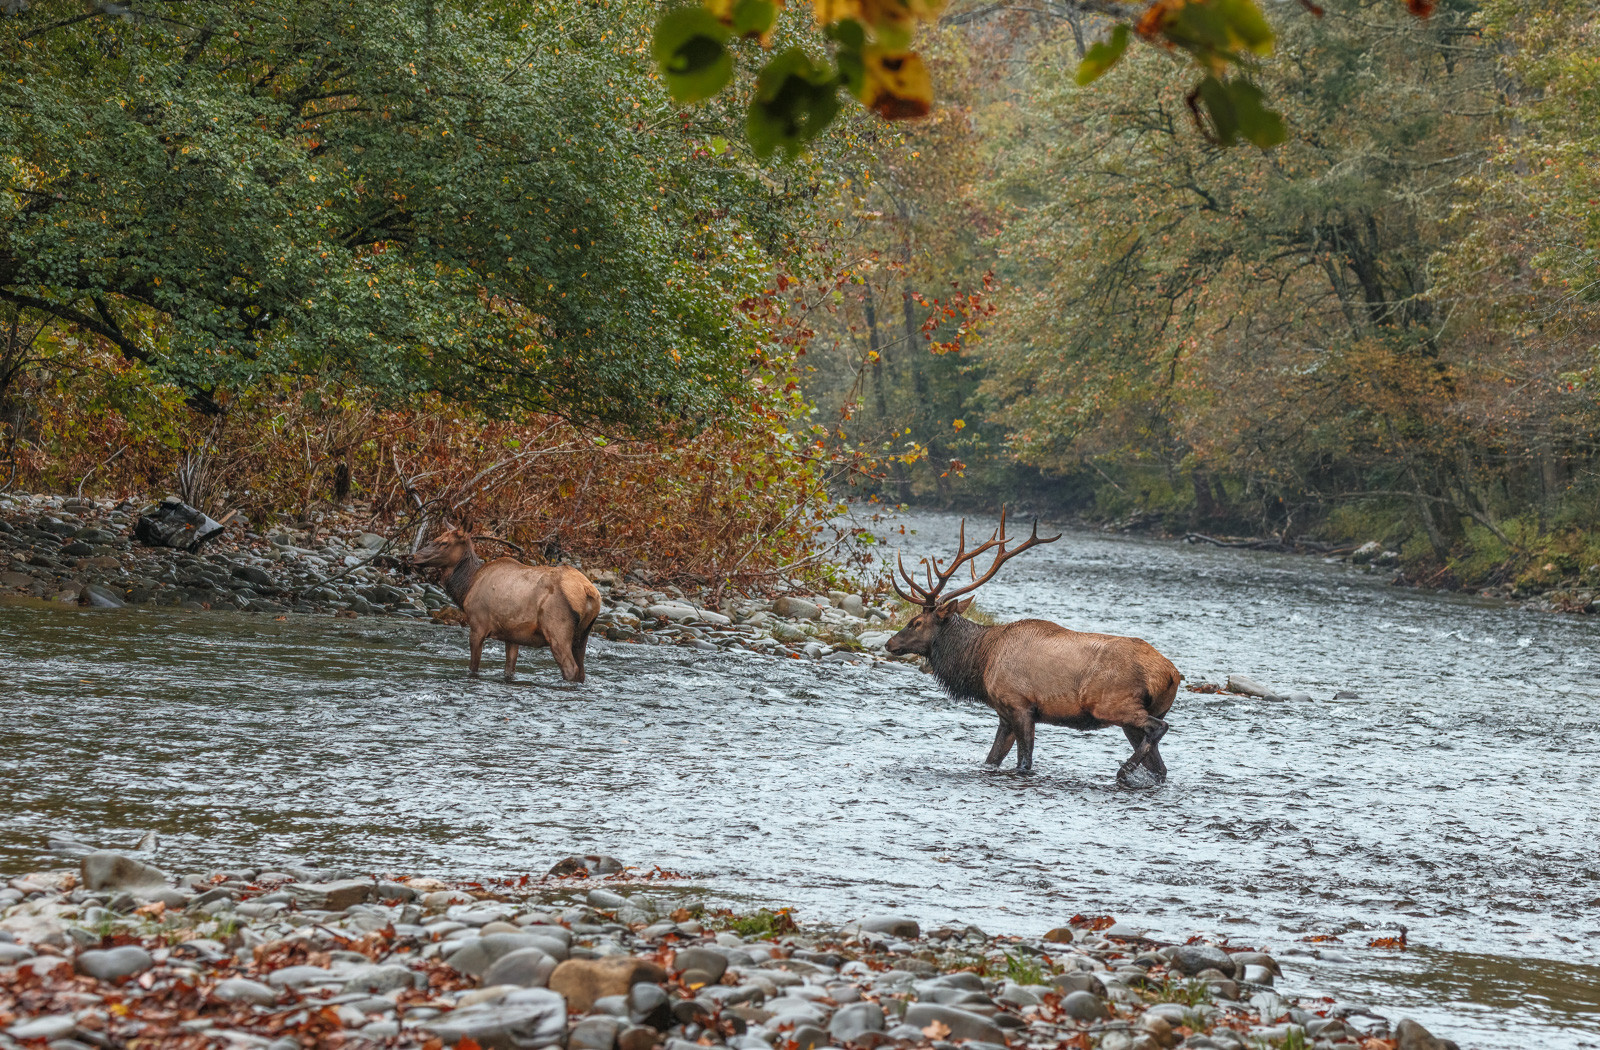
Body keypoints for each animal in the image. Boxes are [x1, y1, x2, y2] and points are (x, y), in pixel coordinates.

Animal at [406, 528, 601, 685]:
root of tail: (589, 592)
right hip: (582, 635)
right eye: (435, 538)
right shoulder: (512, 634)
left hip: (557, 629)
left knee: (570, 668)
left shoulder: (478, 625)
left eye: (443, 542)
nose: (412, 556)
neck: (467, 586)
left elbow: (474, 667)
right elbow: (509, 669)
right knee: (582, 671)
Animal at [883, 512, 1184, 784]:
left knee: (1159, 728)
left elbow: (1024, 762)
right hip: (1144, 714)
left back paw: (1123, 771)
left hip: (1112, 704)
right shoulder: (1004, 714)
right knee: (1160, 766)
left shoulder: (1021, 705)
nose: (889, 642)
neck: (981, 660)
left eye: (916, 622)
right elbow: (991, 760)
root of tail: (1170, 673)